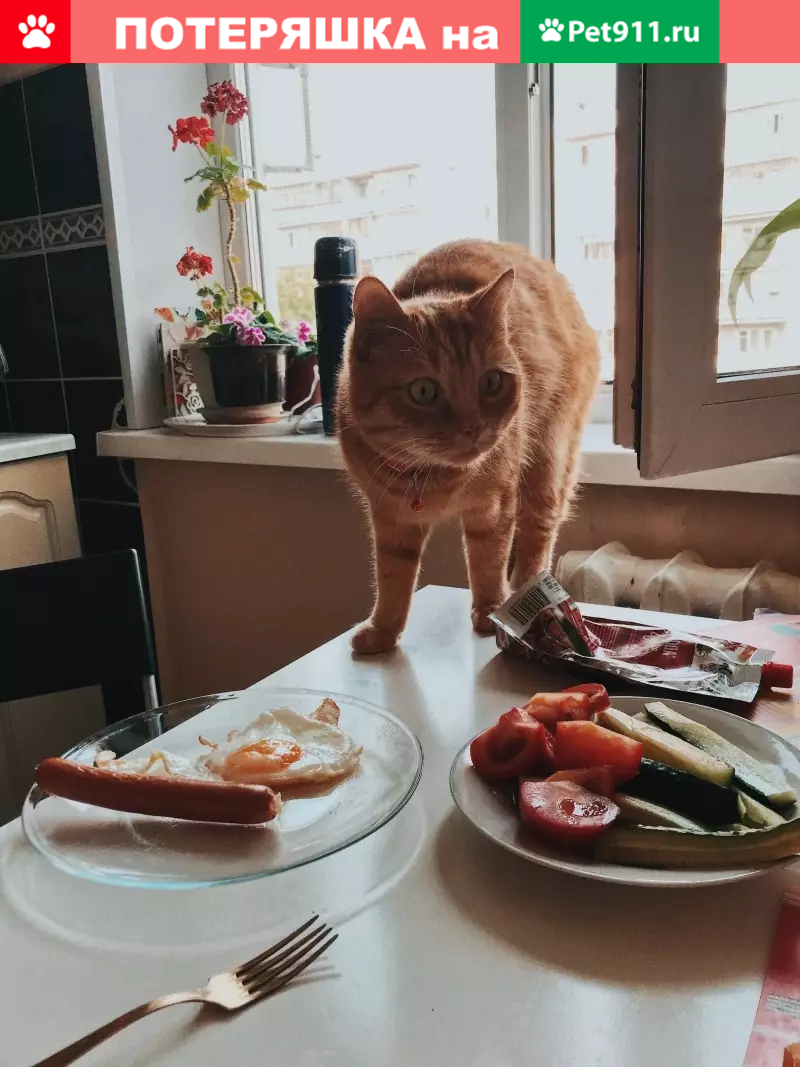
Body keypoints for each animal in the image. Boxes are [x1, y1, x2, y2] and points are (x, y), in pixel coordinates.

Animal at [336, 239, 600, 655]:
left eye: (491, 382)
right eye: (423, 391)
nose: (474, 427)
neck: (430, 477)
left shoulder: (493, 509)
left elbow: (487, 563)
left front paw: (491, 610)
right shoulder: (390, 517)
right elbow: (392, 578)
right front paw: (383, 630)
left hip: (548, 465)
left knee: (536, 539)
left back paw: (528, 595)